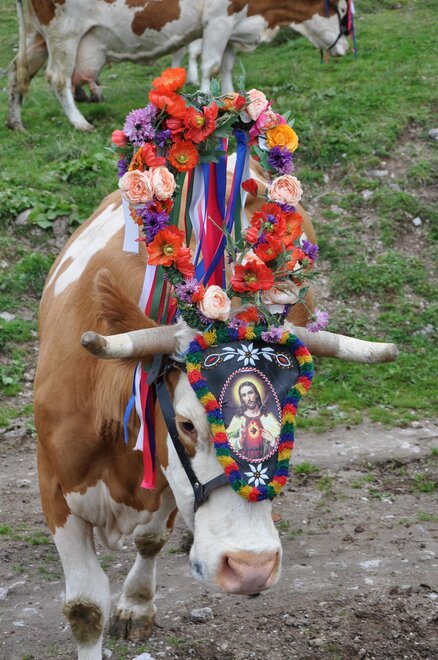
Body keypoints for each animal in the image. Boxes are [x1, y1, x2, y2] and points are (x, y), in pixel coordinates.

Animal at [8, 0, 351, 131]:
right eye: (343, 13)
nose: (346, 48)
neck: (264, 16)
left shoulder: (233, 25)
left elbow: (228, 67)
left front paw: (236, 104)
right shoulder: (218, 19)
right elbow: (211, 65)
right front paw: (207, 107)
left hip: (37, 38)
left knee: (15, 72)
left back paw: (15, 121)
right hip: (63, 33)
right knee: (58, 78)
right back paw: (79, 121)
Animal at [34, 152, 397, 659]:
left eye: (289, 421)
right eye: (186, 425)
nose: (251, 568)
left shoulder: (167, 487)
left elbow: (151, 538)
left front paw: (136, 605)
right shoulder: (54, 487)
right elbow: (85, 609)